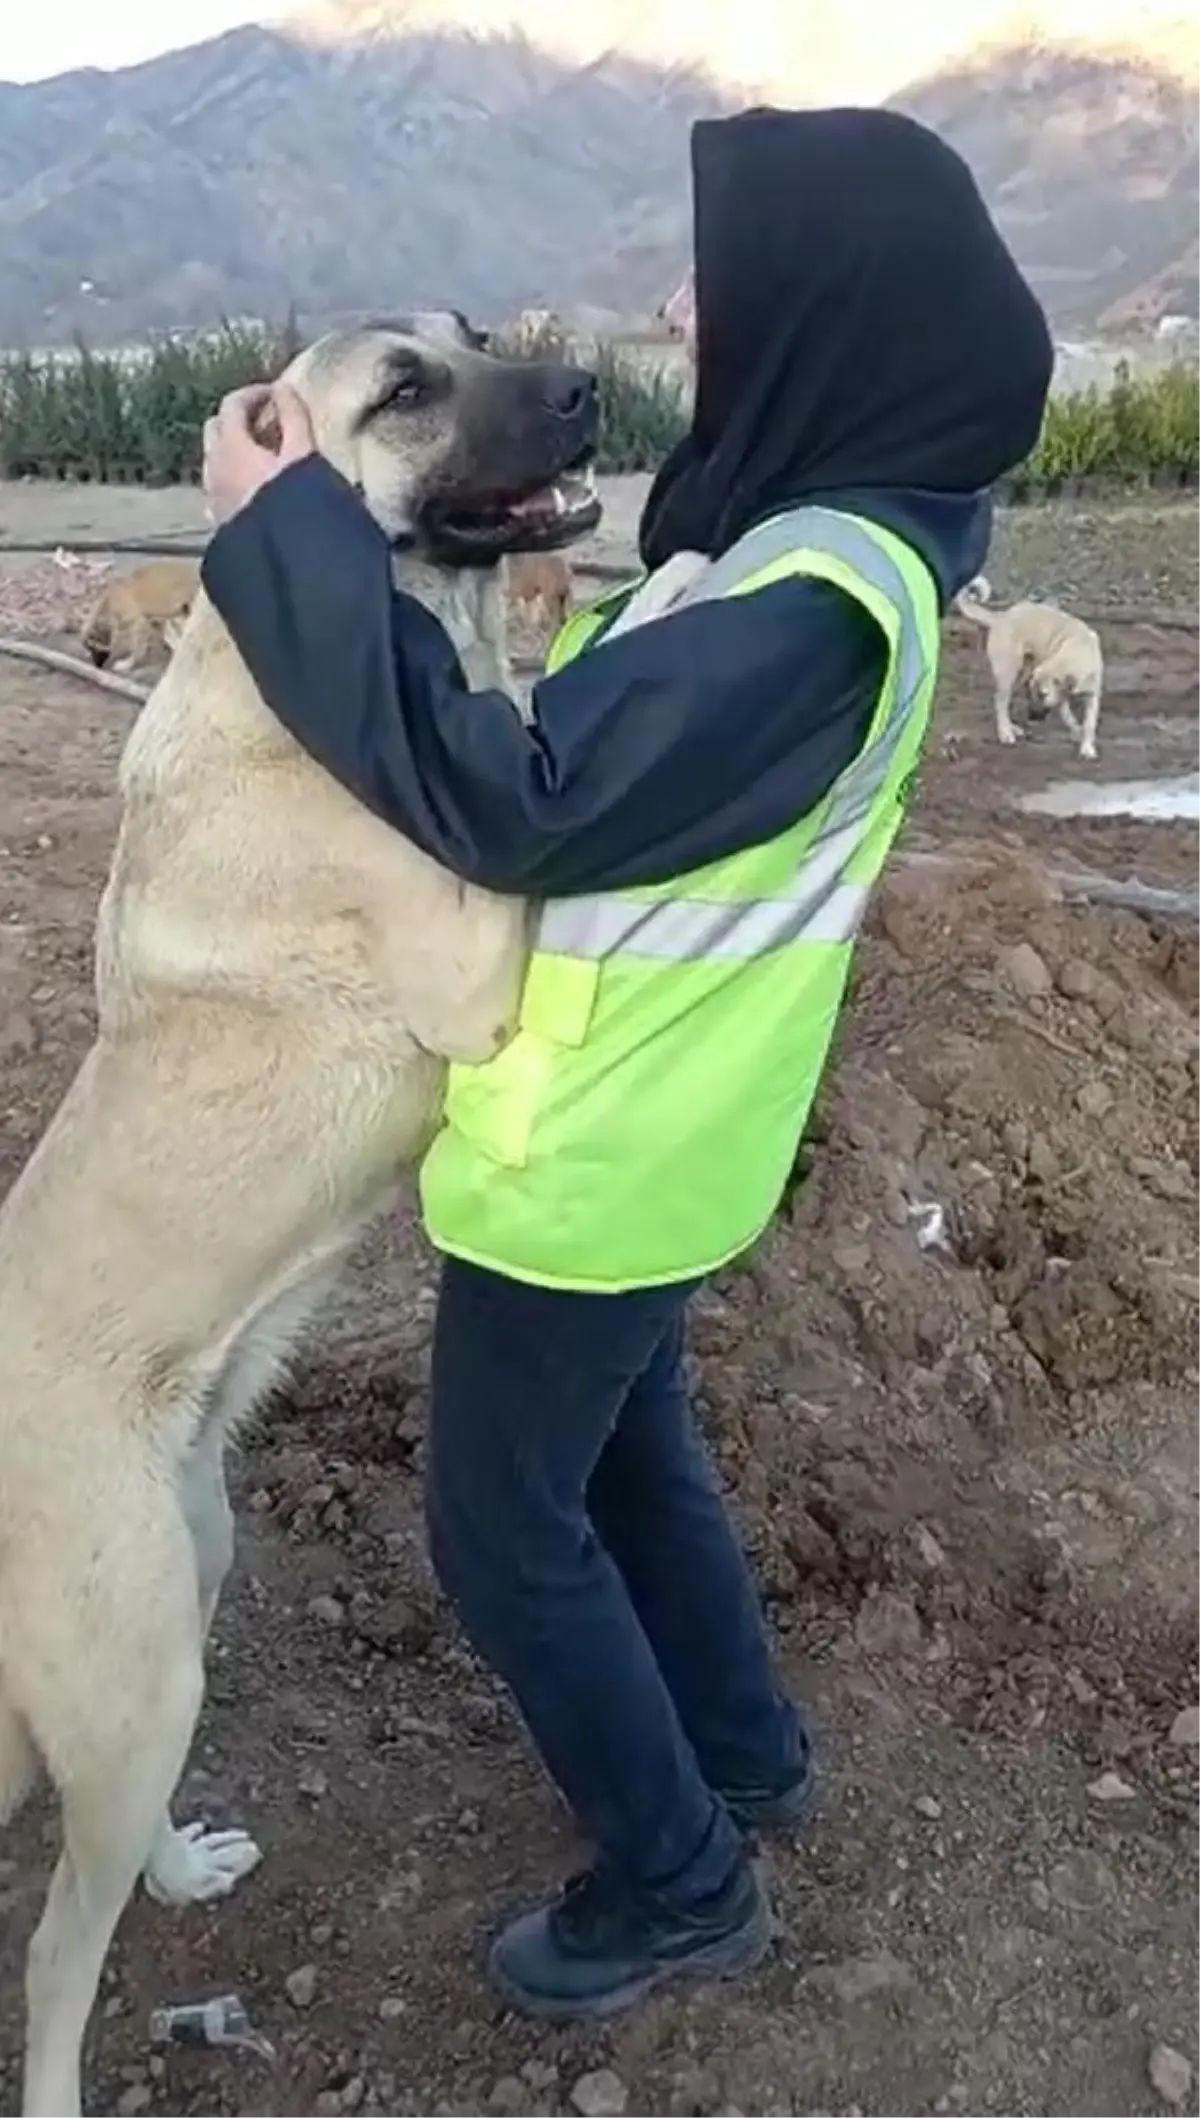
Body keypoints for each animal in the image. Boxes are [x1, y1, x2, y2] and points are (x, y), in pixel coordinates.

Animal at [0, 313, 601, 2118]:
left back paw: (184, 1867)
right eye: (404, 390)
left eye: (473, 336)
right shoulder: (477, 958)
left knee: (105, 1844)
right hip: (136, 1666)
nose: (587, 389)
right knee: (55, 1948)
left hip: (189, 1583)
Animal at [956, 571, 1108, 762]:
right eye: (1033, 692)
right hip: (1008, 673)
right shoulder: (1062, 698)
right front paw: (1076, 731)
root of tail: (1002, 617)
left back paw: (1012, 727)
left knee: (1006, 702)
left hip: (1022, 673)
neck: (1078, 649)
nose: (1032, 716)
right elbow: (1068, 716)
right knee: (1000, 701)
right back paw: (1005, 733)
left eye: (1042, 695)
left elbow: (1089, 723)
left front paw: (1087, 747)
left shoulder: (1092, 695)